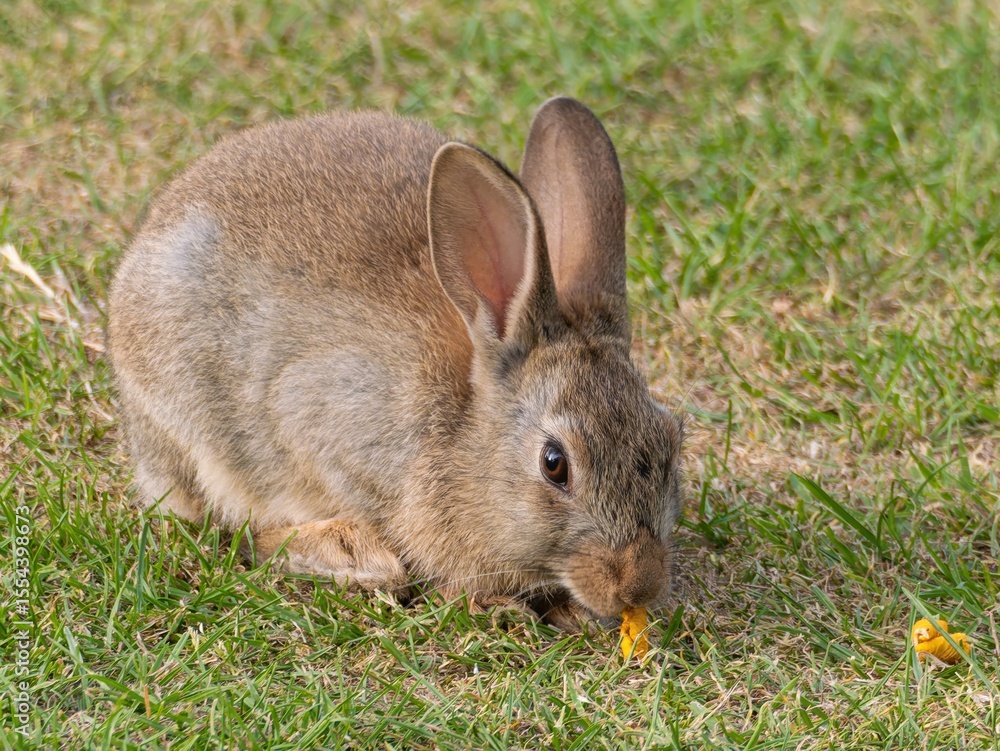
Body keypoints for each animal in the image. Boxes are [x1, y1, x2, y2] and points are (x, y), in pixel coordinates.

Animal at [109, 97, 684, 627]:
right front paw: (476, 597)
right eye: (554, 463)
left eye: (671, 440)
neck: (466, 433)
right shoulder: (317, 416)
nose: (638, 585)